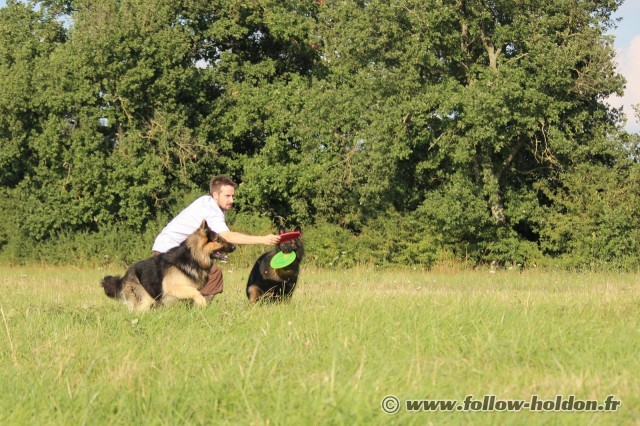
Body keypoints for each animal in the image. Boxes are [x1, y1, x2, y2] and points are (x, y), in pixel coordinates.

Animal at [102, 221, 235, 312]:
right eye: (219, 240)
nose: (234, 247)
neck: (193, 257)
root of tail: (124, 277)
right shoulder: (174, 287)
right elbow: (196, 292)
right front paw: (202, 303)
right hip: (145, 300)